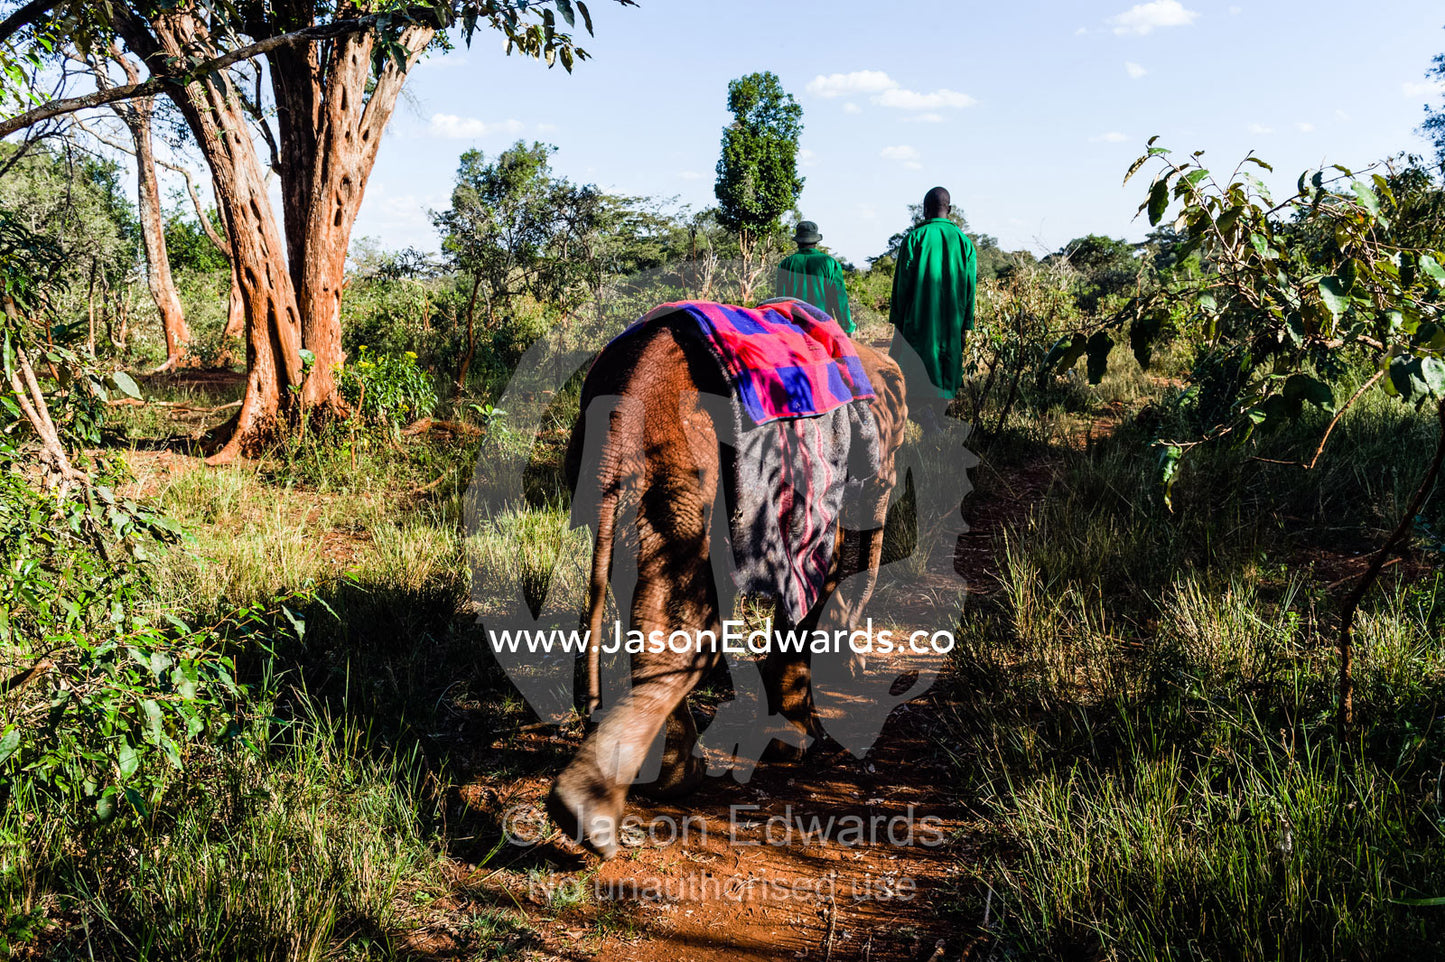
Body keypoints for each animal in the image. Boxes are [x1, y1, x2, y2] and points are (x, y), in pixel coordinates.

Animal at [547, 313, 908, 859]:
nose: (858, 669)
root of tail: (619, 418)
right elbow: (819, 568)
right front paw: (799, 745)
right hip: (685, 460)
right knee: (692, 617)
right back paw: (602, 810)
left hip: (643, 479)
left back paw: (648, 787)